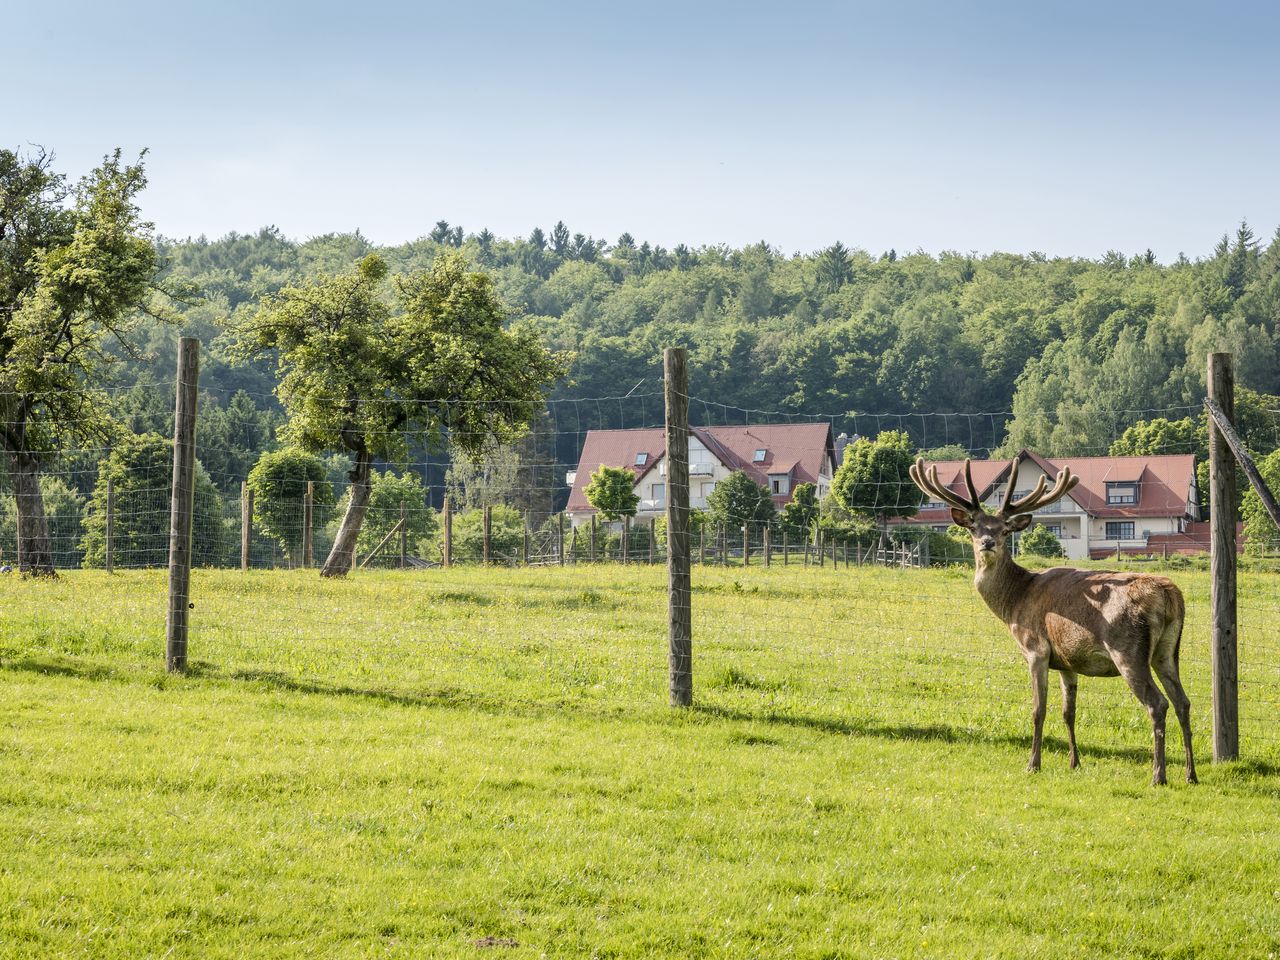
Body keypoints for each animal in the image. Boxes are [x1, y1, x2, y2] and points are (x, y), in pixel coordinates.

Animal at [911, 455, 1198, 783]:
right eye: (974, 526)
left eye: (1004, 530)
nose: (987, 543)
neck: (1015, 601)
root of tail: (1169, 594)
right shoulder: (1067, 660)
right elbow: (1067, 711)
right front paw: (1075, 762)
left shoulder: (1036, 649)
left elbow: (1039, 709)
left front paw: (1033, 763)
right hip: (1168, 650)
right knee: (1183, 701)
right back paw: (1190, 774)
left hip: (1128, 650)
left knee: (1158, 703)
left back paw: (1158, 775)